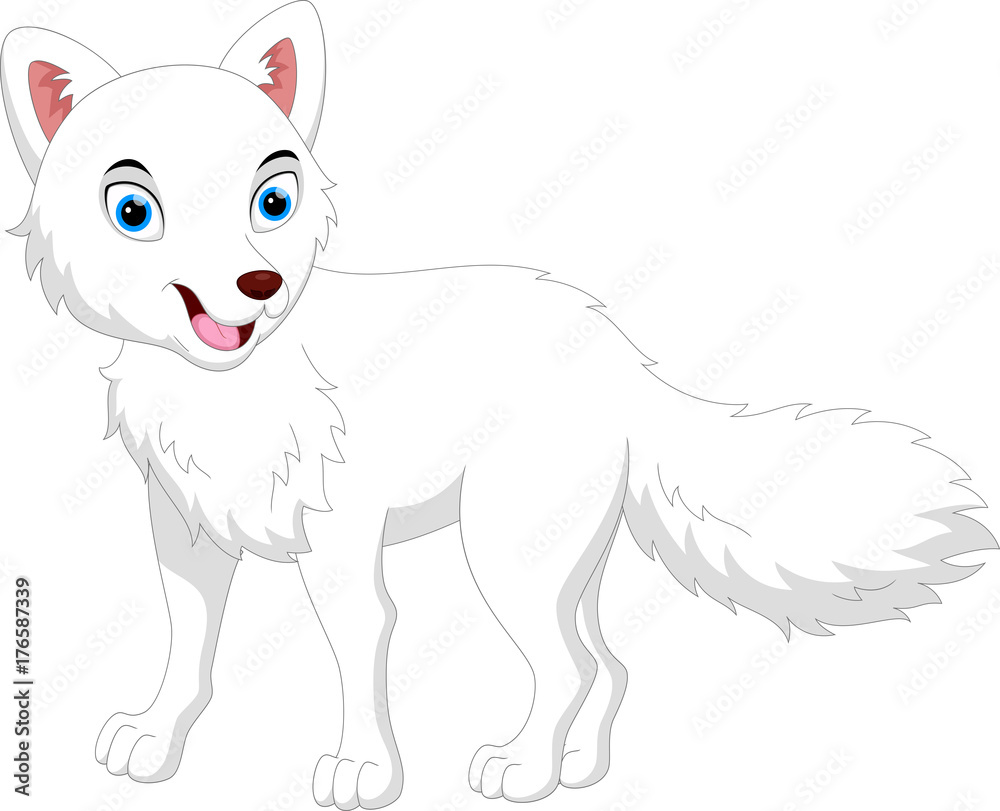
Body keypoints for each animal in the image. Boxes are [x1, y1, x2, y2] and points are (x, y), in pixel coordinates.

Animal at [2, 2, 995, 808]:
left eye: (272, 200)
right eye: (134, 211)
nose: (260, 283)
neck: (229, 391)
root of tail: (619, 349)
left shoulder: (341, 549)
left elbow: (358, 655)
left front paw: (364, 771)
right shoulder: (187, 536)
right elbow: (188, 649)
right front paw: (155, 740)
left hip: (503, 556)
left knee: (567, 667)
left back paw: (522, 767)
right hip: (560, 567)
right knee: (610, 663)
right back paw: (579, 770)